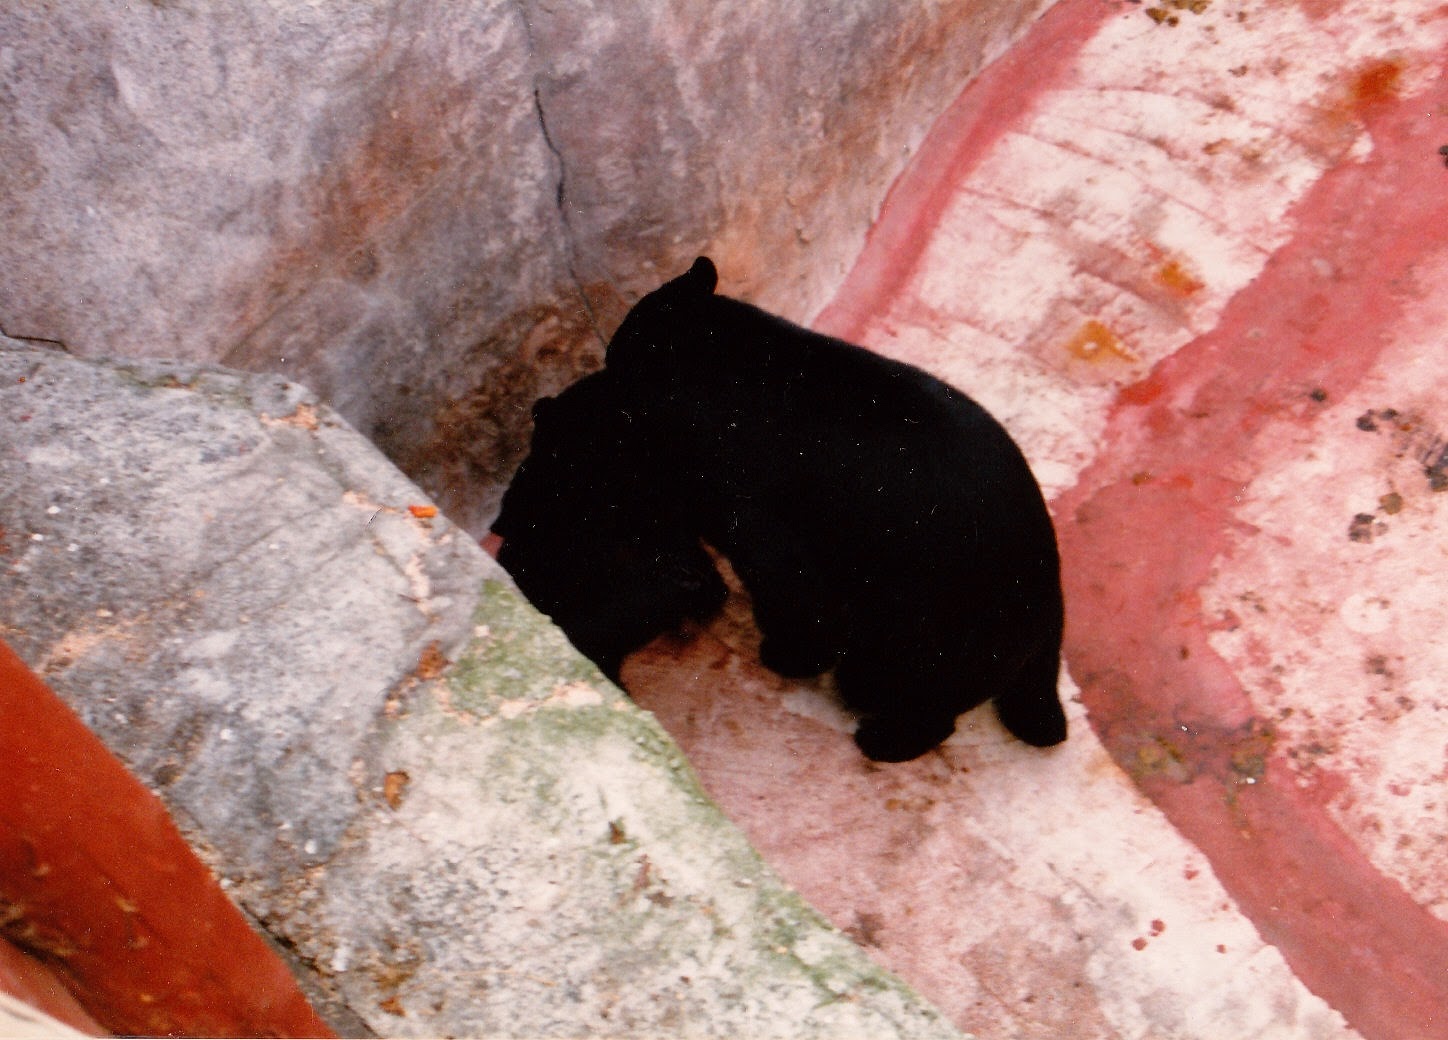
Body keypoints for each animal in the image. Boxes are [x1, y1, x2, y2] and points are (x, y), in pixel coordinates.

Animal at [493, 256, 1067, 762]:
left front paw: (784, 653)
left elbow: (787, 580)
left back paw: (883, 738)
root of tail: (1049, 607)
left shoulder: (754, 490)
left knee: (907, 684)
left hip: (938, 626)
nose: (546, 404)